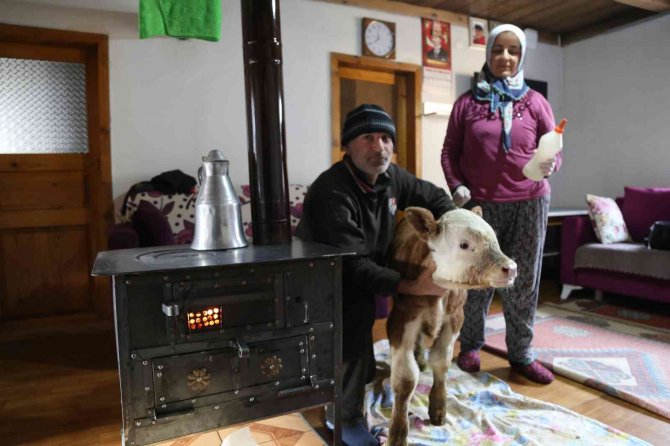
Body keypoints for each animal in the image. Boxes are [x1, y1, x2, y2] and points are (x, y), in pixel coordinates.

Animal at [386, 206, 516, 446]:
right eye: (464, 244)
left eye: (495, 239)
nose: (511, 268)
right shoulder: (401, 316)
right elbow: (406, 378)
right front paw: (397, 433)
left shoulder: (456, 316)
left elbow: (441, 361)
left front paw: (438, 407)